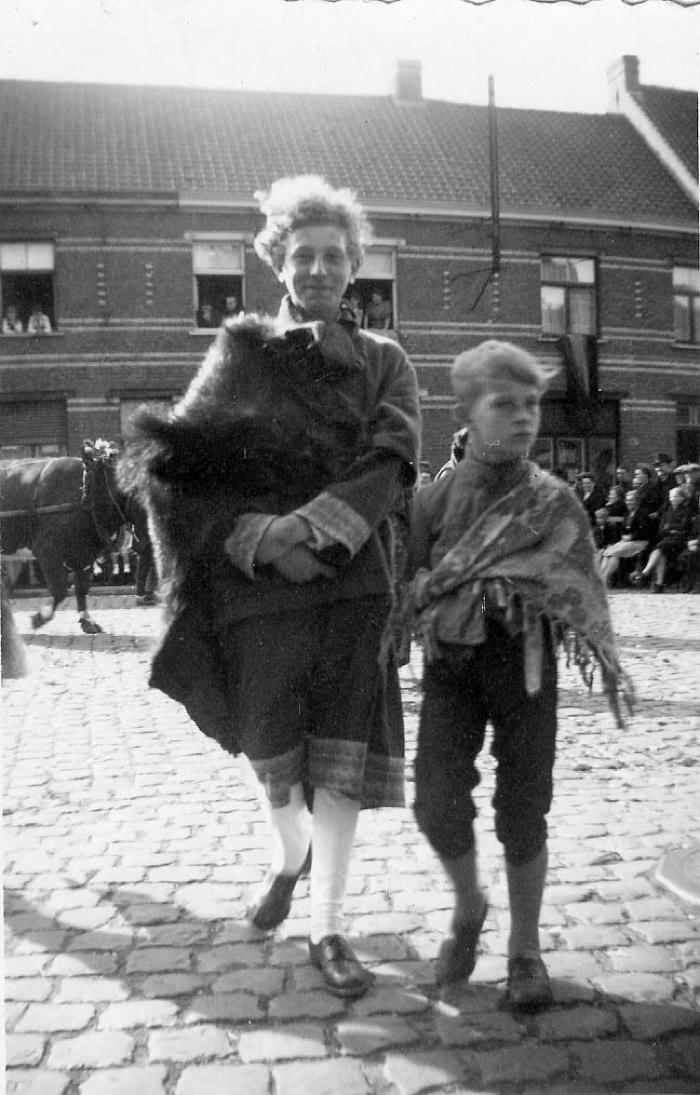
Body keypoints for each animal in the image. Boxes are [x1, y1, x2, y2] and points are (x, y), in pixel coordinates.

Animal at [1, 440, 146, 639]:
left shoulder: (85, 554)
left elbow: (81, 588)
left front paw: (88, 621)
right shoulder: (47, 550)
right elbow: (61, 590)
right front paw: (39, 618)